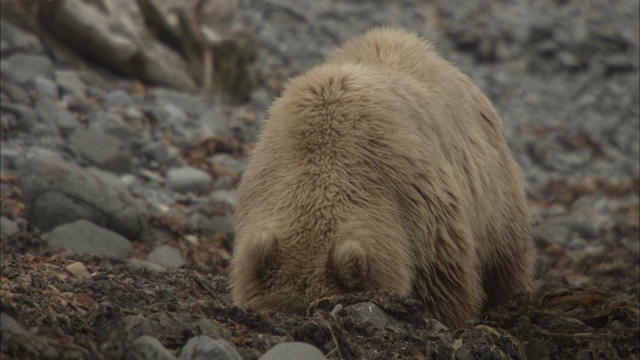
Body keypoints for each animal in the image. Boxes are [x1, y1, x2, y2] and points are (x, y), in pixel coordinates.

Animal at [230, 26, 536, 328]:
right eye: (277, 309)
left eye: (321, 304)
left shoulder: (420, 207)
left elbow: (446, 285)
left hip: (495, 197)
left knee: (505, 263)